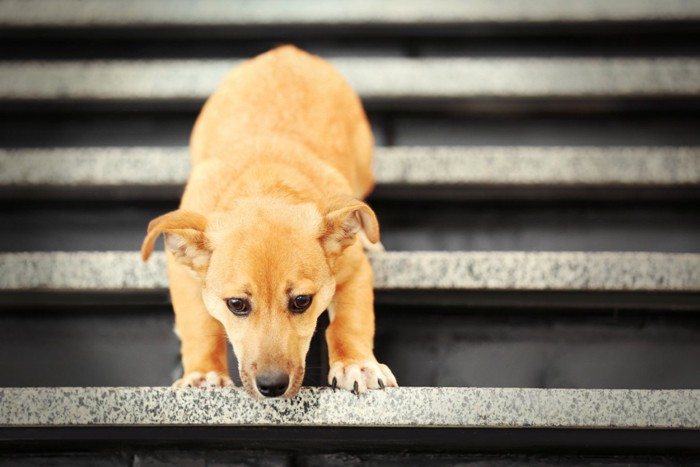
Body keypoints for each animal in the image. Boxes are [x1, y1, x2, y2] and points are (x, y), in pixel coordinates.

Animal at [139, 46, 396, 398]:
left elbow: (350, 322)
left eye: (302, 301)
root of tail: (286, 51)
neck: (264, 187)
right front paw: (204, 374)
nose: (272, 387)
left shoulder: (354, 270)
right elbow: (199, 326)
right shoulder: (183, 276)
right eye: (236, 304)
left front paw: (357, 364)